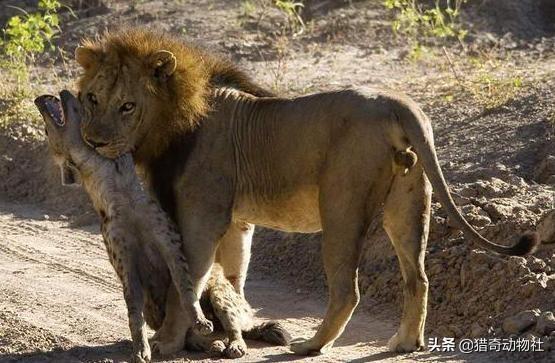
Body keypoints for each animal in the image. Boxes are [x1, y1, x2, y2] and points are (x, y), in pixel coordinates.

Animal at [74, 27, 540, 356]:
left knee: (347, 289)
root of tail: (398, 102)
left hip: (341, 205)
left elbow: (185, 282)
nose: (93, 141)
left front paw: (170, 342)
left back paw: (312, 345)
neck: (173, 119)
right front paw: (237, 328)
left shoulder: (201, 217)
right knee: (418, 277)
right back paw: (405, 343)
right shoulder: (237, 222)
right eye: (92, 98)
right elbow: (234, 275)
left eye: (127, 106)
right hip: (408, 203)